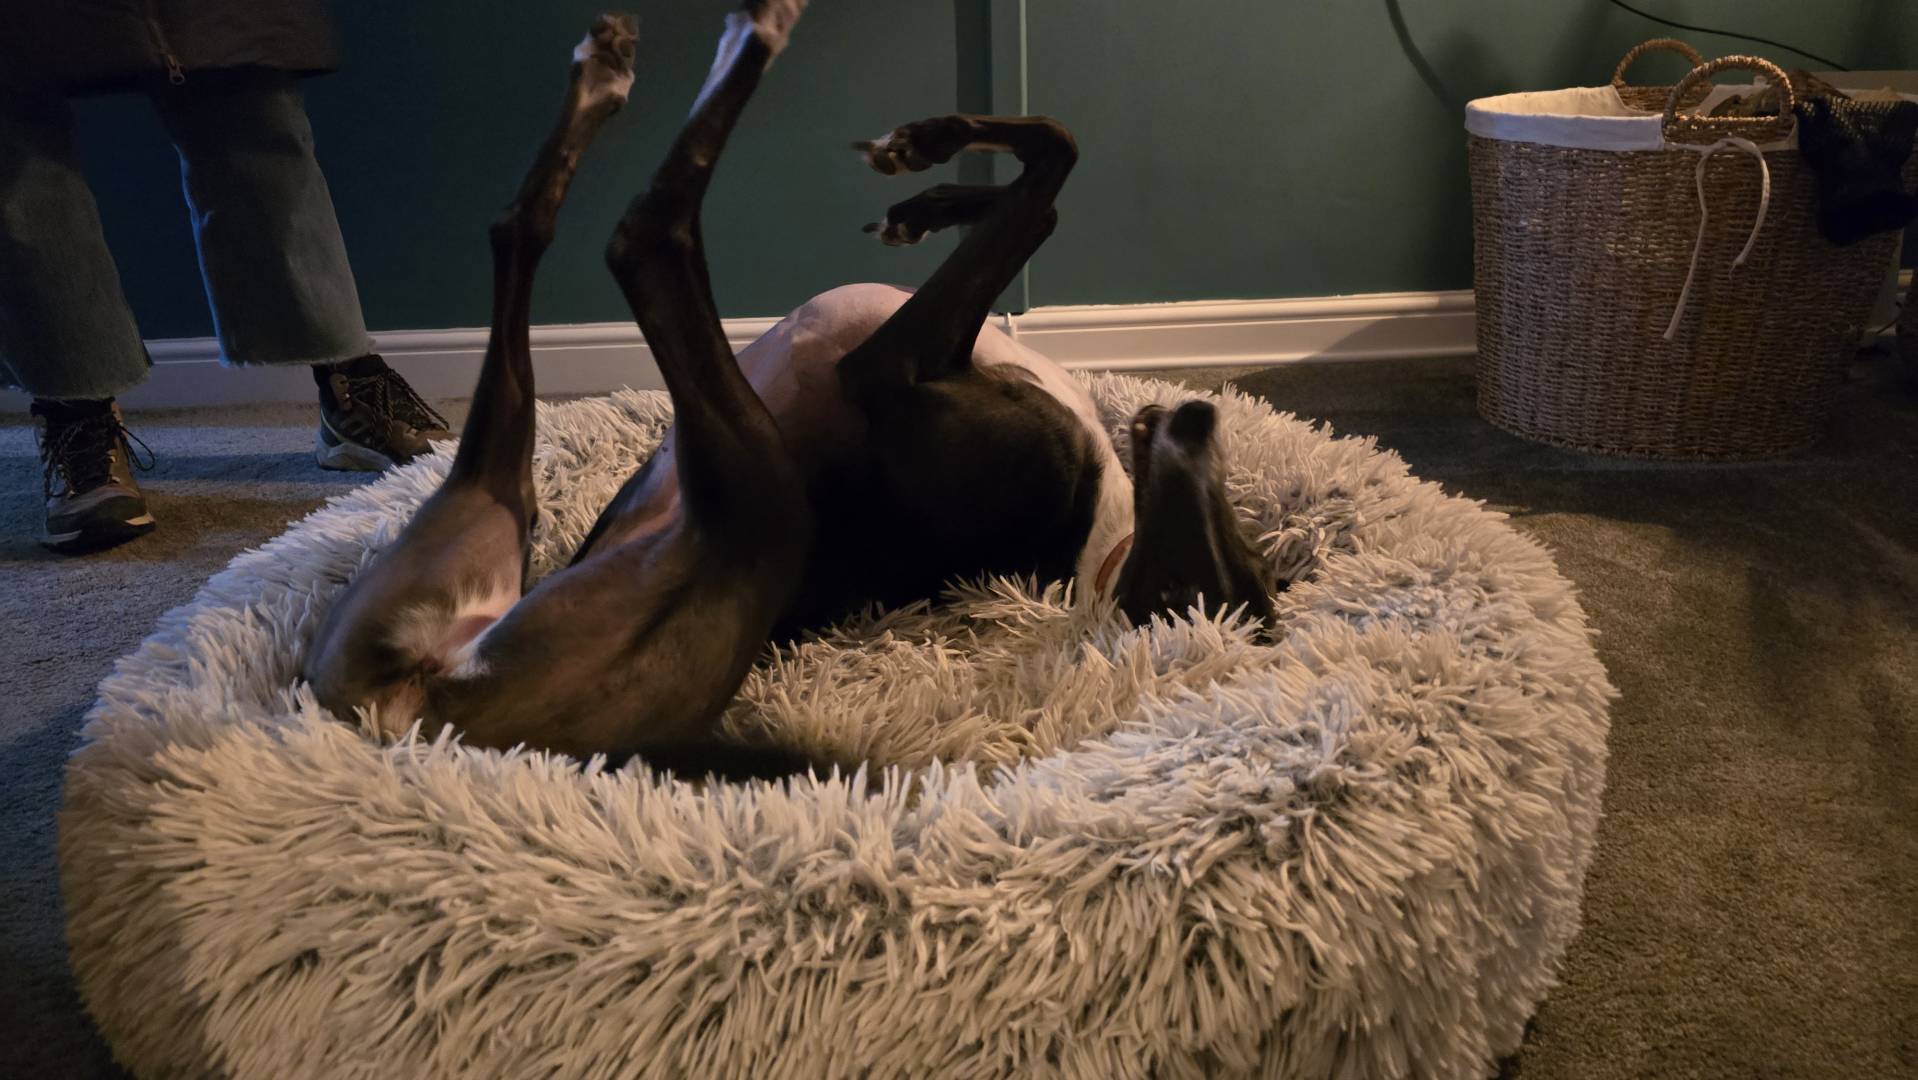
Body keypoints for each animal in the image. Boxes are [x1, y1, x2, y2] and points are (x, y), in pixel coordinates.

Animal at [304, 3, 1276, 780]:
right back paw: (613, 71)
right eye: (1230, 546)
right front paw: (927, 186)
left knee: (634, 236)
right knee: (528, 234)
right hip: (477, 522)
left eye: (1205, 582)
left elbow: (1049, 173)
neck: (1093, 548)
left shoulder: (885, 368)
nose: (1198, 418)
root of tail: (413, 726)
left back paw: (715, 43)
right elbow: (1044, 186)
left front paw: (931, 163)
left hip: (734, 508)